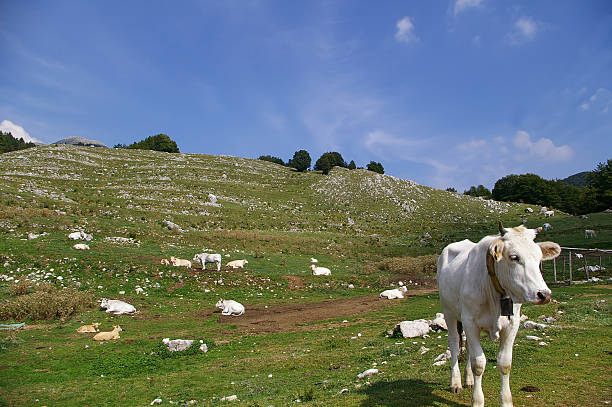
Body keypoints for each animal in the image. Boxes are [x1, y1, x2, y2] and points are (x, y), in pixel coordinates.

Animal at [438, 223, 560, 407]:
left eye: (539, 259)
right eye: (514, 257)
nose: (544, 294)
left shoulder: (512, 324)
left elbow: (504, 363)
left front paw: (506, 400)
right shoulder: (470, 322)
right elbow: (478, 364)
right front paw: (477, 401)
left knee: (467, 347)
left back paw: (469, 380)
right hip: (449, 313)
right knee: (454, 344)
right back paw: (456, 382)